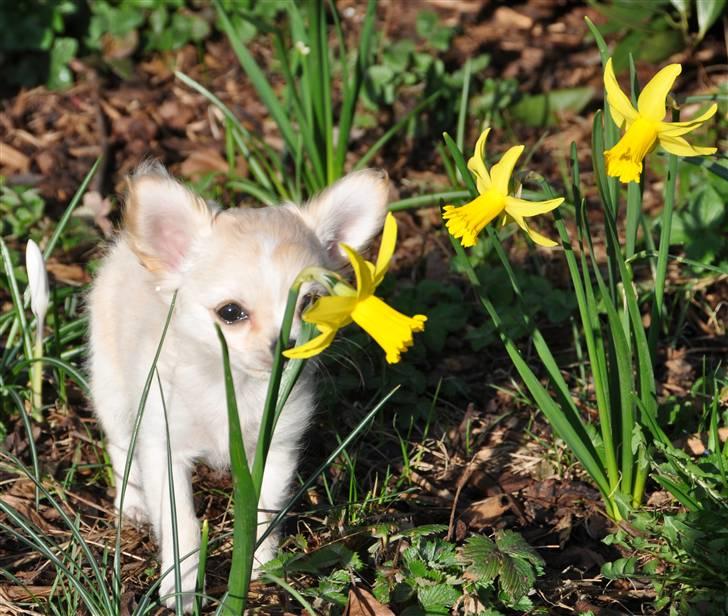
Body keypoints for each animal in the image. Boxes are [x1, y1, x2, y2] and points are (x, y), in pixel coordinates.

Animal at [90, 161, 390, 608]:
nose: (285, 343)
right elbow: (182, 526)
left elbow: (263, 511)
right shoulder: (165, 450)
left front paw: (260, 567)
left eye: (311, 302)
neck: (230, 386)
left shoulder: (277, 447)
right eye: (230, 313)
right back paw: (133, 504)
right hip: (114, 392)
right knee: (120, 447)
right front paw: (181, 587)